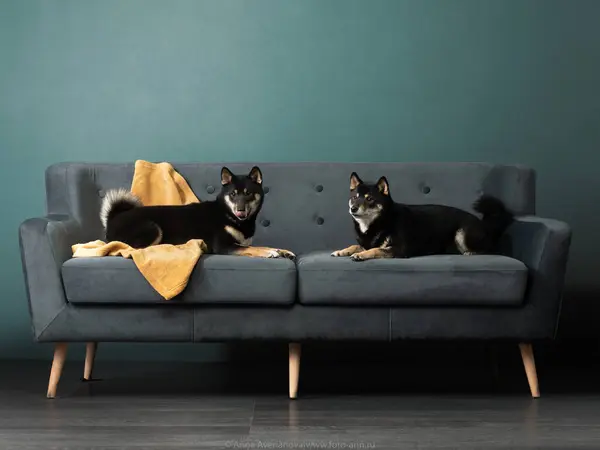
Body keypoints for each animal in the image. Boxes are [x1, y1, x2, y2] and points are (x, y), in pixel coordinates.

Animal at [102, 166, 296, 258]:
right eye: (233, 194)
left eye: (248, 193)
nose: (240, 210)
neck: (228, 215)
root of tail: (113, 217)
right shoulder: (223, 246)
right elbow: (253, 249)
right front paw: (270, 253)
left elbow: (258, 245)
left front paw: (283, 251)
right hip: (152, 228)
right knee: (135, 248)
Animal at [330, 173, 512, 264]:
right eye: (355, 197)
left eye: (369, 199)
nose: (353, 208)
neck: (380, 221)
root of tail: (485, 225)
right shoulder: (366, 241)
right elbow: (356, 245)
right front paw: (342, 251)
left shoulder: (400, 249)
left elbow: (375, 249)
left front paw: (361, 255)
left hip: (462, 233)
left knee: (492, 249)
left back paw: (472, 252)